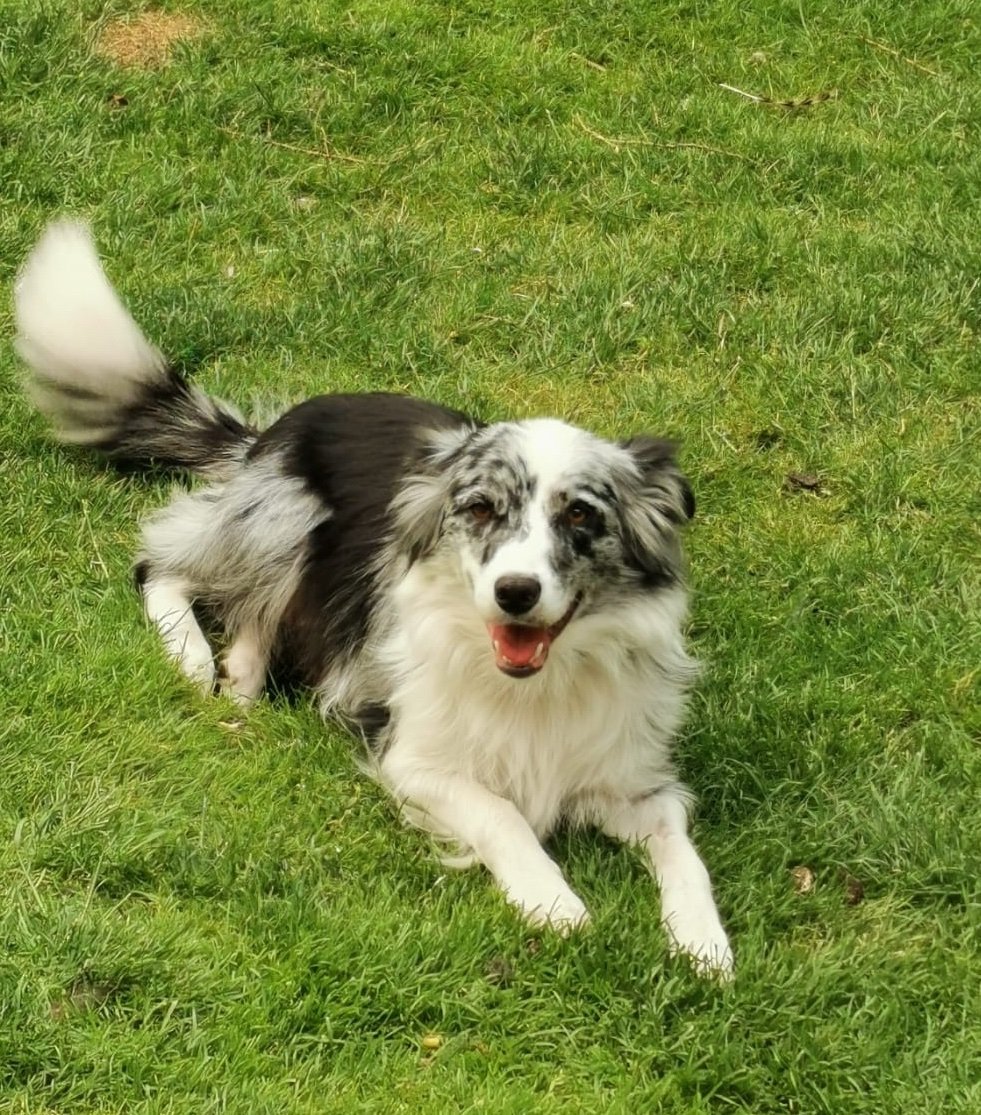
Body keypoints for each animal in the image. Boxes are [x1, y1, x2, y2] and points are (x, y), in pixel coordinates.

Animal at [14, 220, 733, 976]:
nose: (515, 592)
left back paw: (240, 679)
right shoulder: (412, 757)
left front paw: (704, 942)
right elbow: (501, 813)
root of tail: (269, 434)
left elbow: (684, 852)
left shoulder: (635, 780)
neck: (534, 688)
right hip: (285, 517)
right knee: (165, 565)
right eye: (481, 509)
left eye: (579, 516)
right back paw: (197, 658)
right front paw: (551, 900)